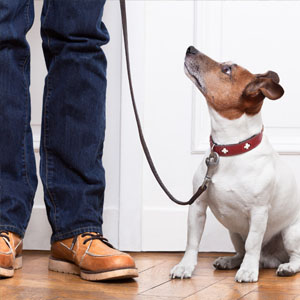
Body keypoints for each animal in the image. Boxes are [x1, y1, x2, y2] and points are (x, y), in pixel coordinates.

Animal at [170, 45, 300, 282]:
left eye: (227, 69)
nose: (190, 48)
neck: (230, 149)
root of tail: (270, 258)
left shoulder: (259, 212)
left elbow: (253, 244)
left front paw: (248, 271)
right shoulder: (197, 206)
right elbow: (192, 242)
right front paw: (185, 266)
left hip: (291, 232)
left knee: (294, 256)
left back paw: (285, 267)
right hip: (234, 232)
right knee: (240, 250)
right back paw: (231, 261)